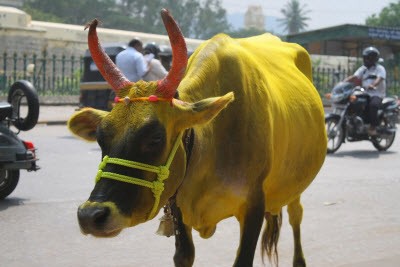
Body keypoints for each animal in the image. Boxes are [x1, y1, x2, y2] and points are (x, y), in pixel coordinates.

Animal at [68, 8, 324, 267]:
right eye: (101, 137)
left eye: (155, 138)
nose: (91, 215)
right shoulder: (178, 206)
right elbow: (184, 255)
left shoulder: (254, 204)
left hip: (295, 186)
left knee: (296, 216)